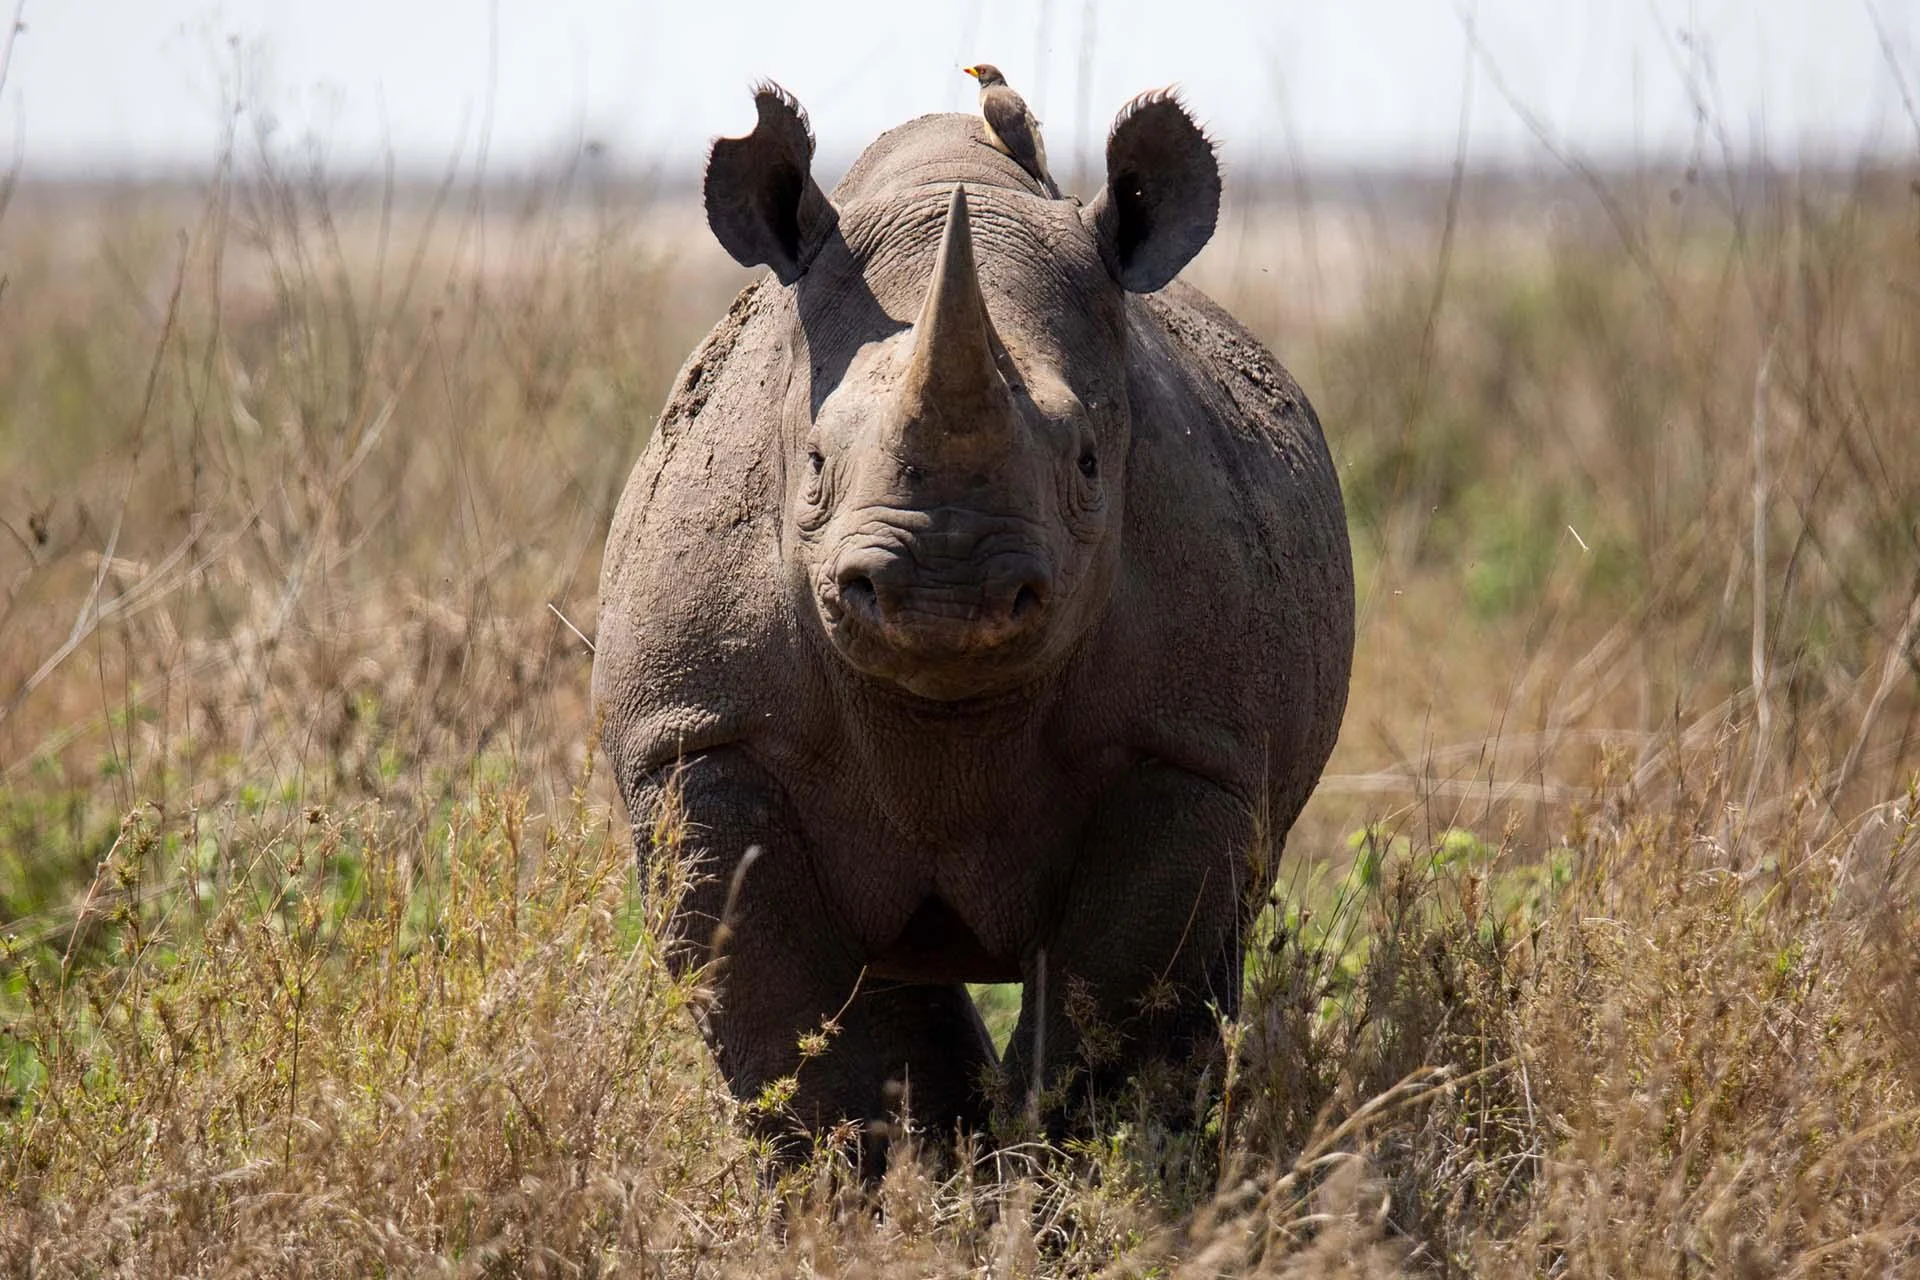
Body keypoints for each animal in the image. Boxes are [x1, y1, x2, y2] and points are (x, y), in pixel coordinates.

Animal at [591, 84, 1359, 1159]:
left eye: (1089, 464)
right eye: (813, 466)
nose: (941, 594)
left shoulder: (1192, 745)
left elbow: (1118, 1008)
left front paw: (1084, 1179)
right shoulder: (701, 730)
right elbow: (796, 1019)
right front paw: (878, 1186)